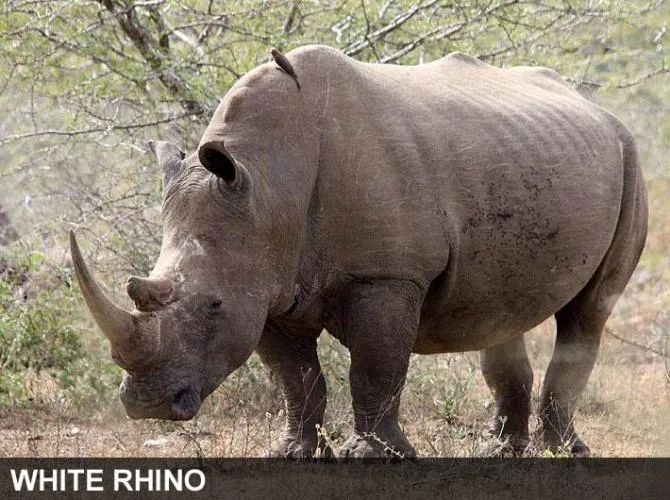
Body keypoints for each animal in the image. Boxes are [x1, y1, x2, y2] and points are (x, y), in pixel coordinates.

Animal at [70, 45, 647, 458]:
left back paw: (566, 452)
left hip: (629, 156)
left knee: (589, 311)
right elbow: (296, 378)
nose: (146, 405)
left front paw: (374, 454)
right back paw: (502, 450)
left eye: (212, 306)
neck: (269, 182)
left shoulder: (384, 276)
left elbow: (375, 366)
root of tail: (597, 108)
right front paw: (293, 453)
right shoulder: (267, 284)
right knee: (500, 310)